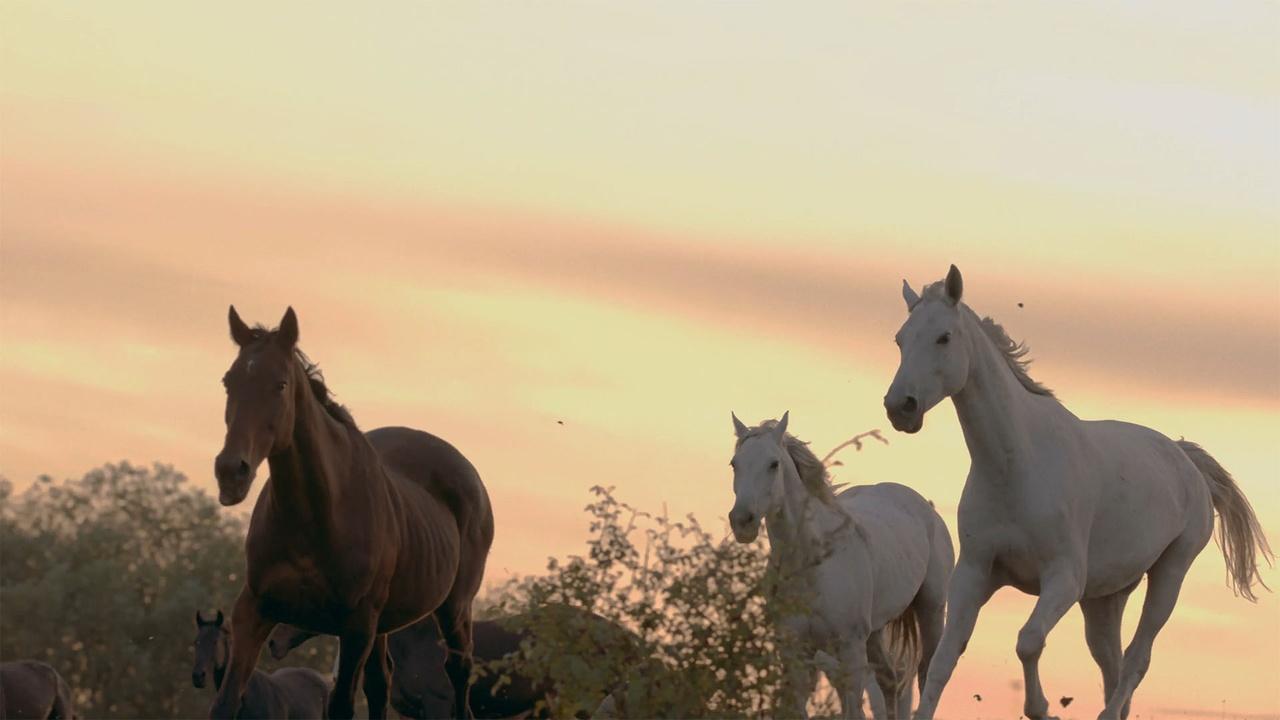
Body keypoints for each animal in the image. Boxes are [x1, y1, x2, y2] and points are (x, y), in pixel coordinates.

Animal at [209, 307, 494, 717]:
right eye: (228, 381)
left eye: (280, 385)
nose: (231, 472)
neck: (314, 518)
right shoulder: (254, 609)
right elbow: (226, 701)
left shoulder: (357, 626)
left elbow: (342, 706)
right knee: (380, 685)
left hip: (453, 610)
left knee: (458, 676)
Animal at [732, 412, 952, 712]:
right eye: (734, 464)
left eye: (773, 464)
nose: (742, 520)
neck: (812, 566)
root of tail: (926, 508)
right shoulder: (794, 651)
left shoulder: (849, 649)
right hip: (875, 632)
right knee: (890, 681)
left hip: (930, 610)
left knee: (925, 675)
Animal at [885, 265, 1274, 717]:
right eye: (901, 338)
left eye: (943, 337)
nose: (900, 407)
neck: (1017, 466)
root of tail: (1187, 461)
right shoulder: (975, 574)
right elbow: (944, 660)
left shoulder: (1064, 578)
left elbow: (1028, 641)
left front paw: (1042, 707)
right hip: (1104, 600)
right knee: (1112, 665)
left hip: (1169, 575)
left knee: (1136, 661)